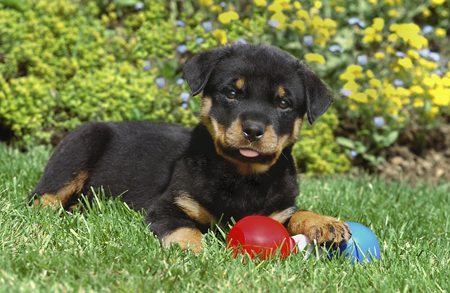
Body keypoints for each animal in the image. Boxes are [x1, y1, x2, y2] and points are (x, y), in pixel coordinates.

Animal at [31, 44, 352, 252]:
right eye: (231, 93)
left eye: (284, 103)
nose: (253, 129)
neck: (242, 174)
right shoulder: (167, 206)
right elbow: (183, 228)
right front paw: (194, 253)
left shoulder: (278, 210)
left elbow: (296, 213)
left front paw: (324, 222)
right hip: (81, 145)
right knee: (42, 197)